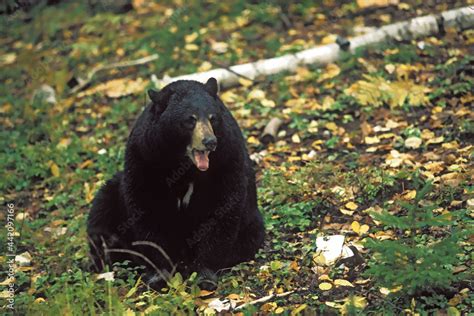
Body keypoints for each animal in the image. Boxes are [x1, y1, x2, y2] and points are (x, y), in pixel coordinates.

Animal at [88, 78, 266, 288]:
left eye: (212, 118)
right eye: (190, 119)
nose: (210, 141)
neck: (184, 165)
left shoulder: (228, 157)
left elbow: (222, 208)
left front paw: (204, 273)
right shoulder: (144, 157)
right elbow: (146, 208)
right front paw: (159, 275)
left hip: (252, 221)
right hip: (113, 195)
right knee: (101, 215)